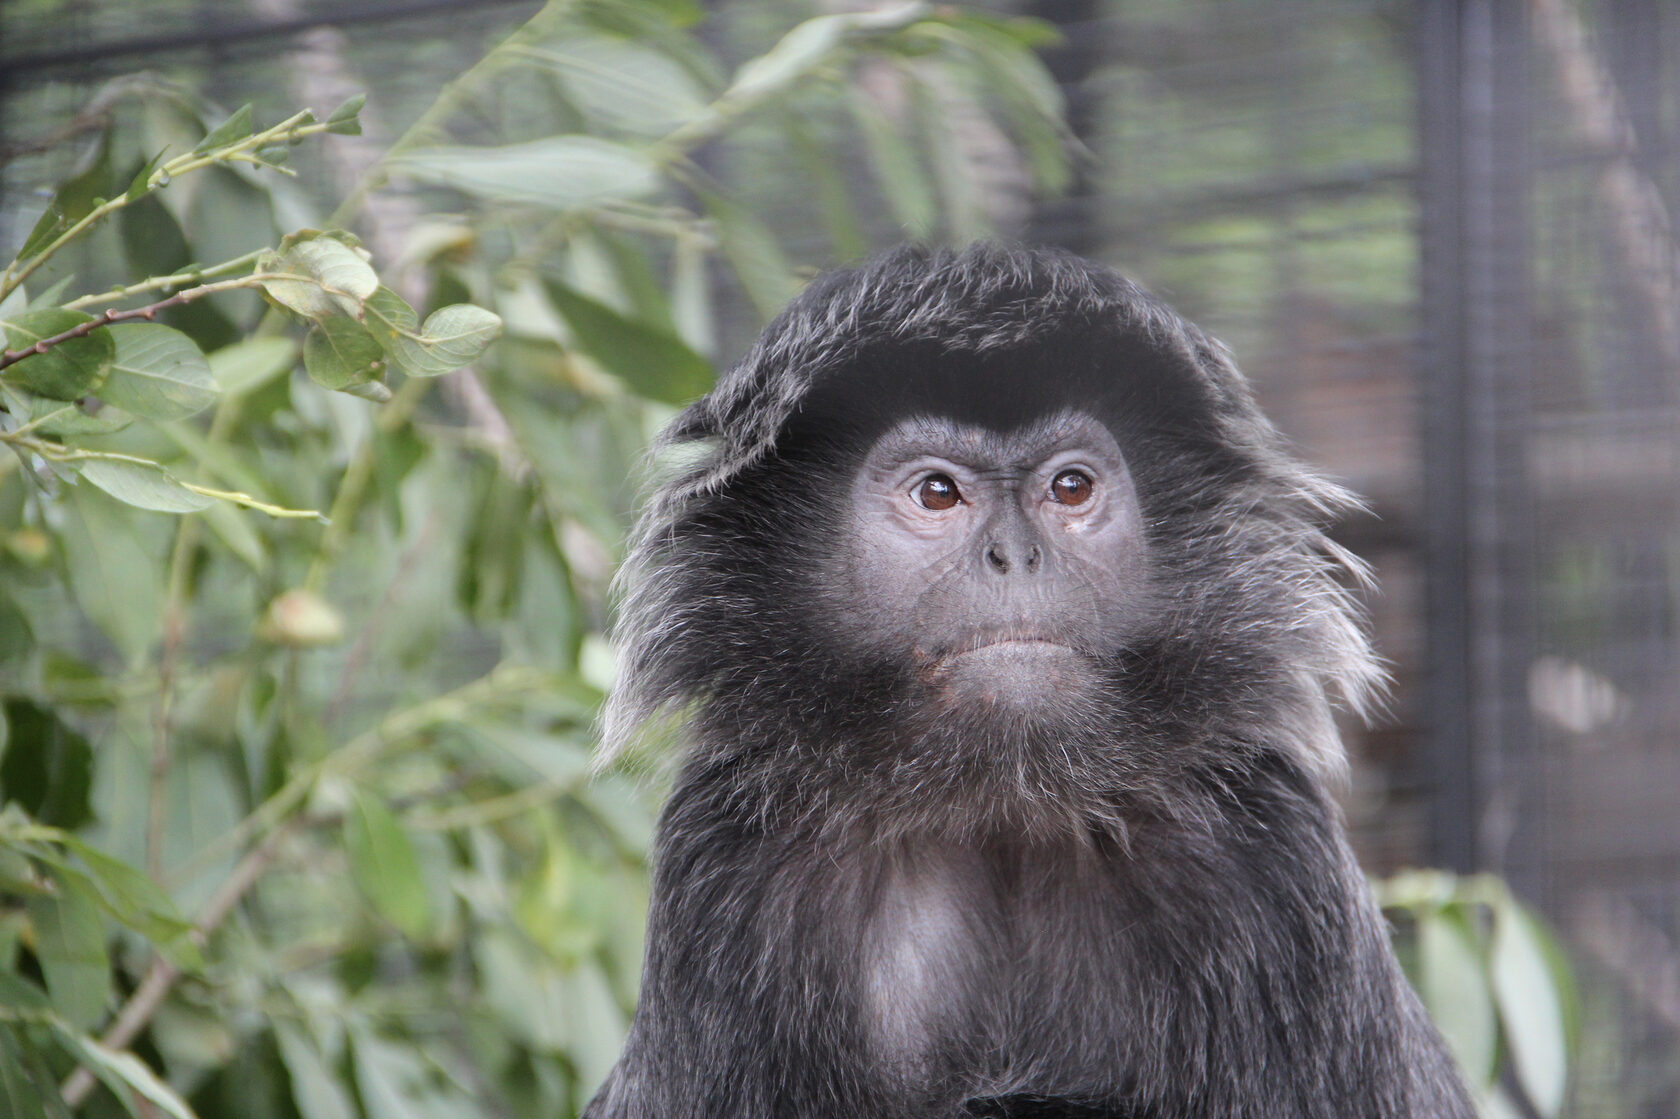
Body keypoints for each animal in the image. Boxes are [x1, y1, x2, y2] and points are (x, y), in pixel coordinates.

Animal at [584, 243, 1478, 1115]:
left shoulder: (1271, 847)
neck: (1003, 807)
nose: (1014, 554)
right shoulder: (729, 856)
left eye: (1071, 487)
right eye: (937, 492)